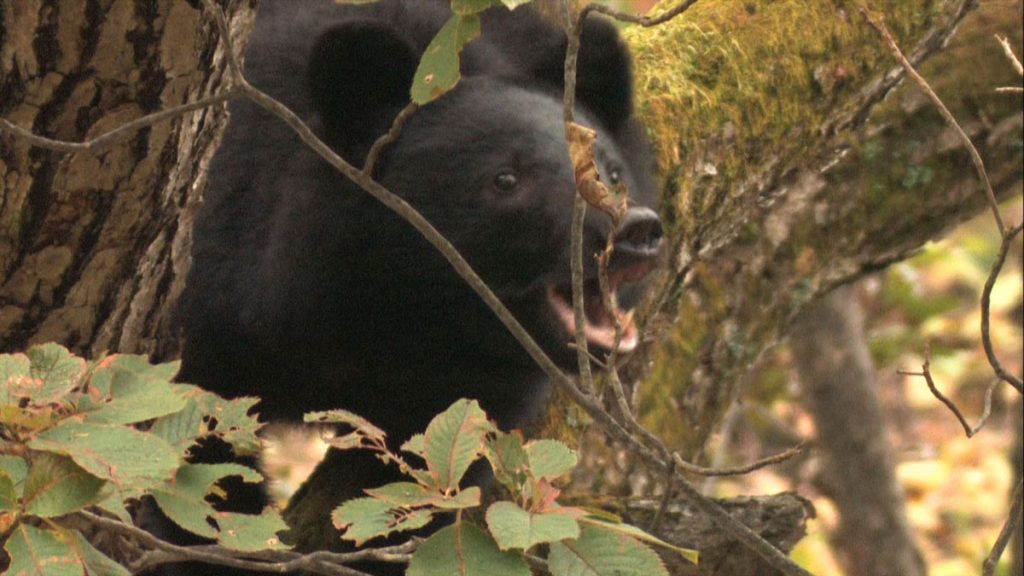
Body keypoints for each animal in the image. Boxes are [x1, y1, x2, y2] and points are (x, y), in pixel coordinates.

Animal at [172, 0, 659, 569]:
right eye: (506, 179)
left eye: (613, 171)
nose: (634, 232)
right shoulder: (217, 285)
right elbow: (200, 451)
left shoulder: (471, 390)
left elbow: (417, 477)